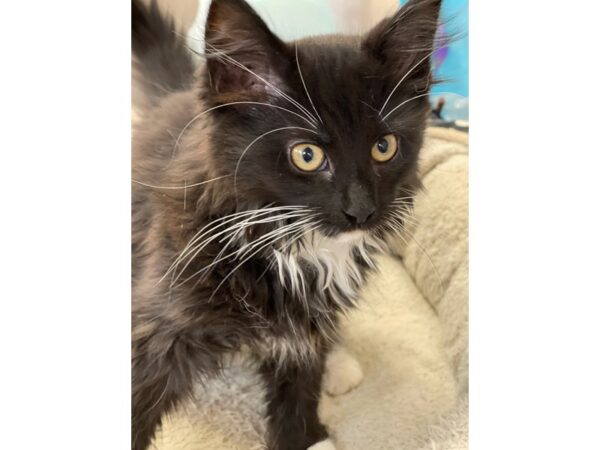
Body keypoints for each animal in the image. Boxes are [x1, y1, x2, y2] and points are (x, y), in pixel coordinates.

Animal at [131, 0, 440, 450]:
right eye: (307, 155)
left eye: (384, 147)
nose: (361, 211)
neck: (293, 246)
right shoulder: (164, 322)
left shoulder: (304, 330)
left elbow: (300, 386)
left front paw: (308, 435)